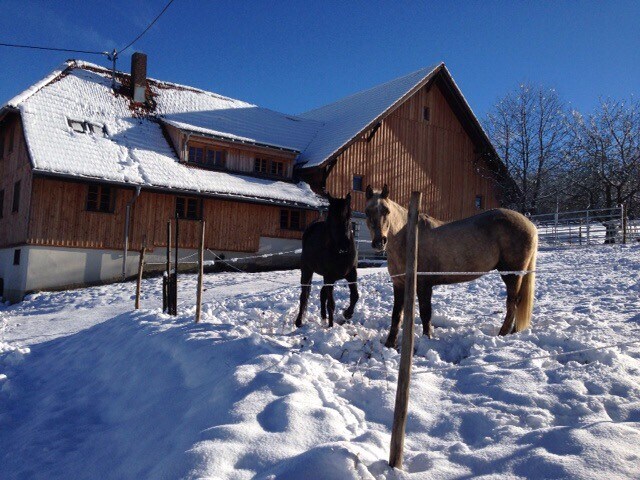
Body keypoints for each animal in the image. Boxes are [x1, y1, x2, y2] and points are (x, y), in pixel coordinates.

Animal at [296, 193, 360, 328]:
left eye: (349, 216)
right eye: (332, 218)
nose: (344, 245)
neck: (340, 254)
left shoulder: (352, 274)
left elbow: (355, 296)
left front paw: (347, 314)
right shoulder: (329, 277)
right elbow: (331, 304)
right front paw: (331, 326)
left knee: (322, 294)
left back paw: (323, 319)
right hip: (307, 271)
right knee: (304, 295)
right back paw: (299, 321)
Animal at [362, 185, 536, 348]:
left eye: (387, 211)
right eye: (367, 211)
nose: (379, 242)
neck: (409, 239)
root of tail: (530, 224)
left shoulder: (424, 285)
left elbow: (425, 313)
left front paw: (427, 339)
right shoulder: (398, 284)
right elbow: (396, 314)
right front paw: (390, 343)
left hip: (511, 274)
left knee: (513, 302)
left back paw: (503, 333)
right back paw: (513, 331)